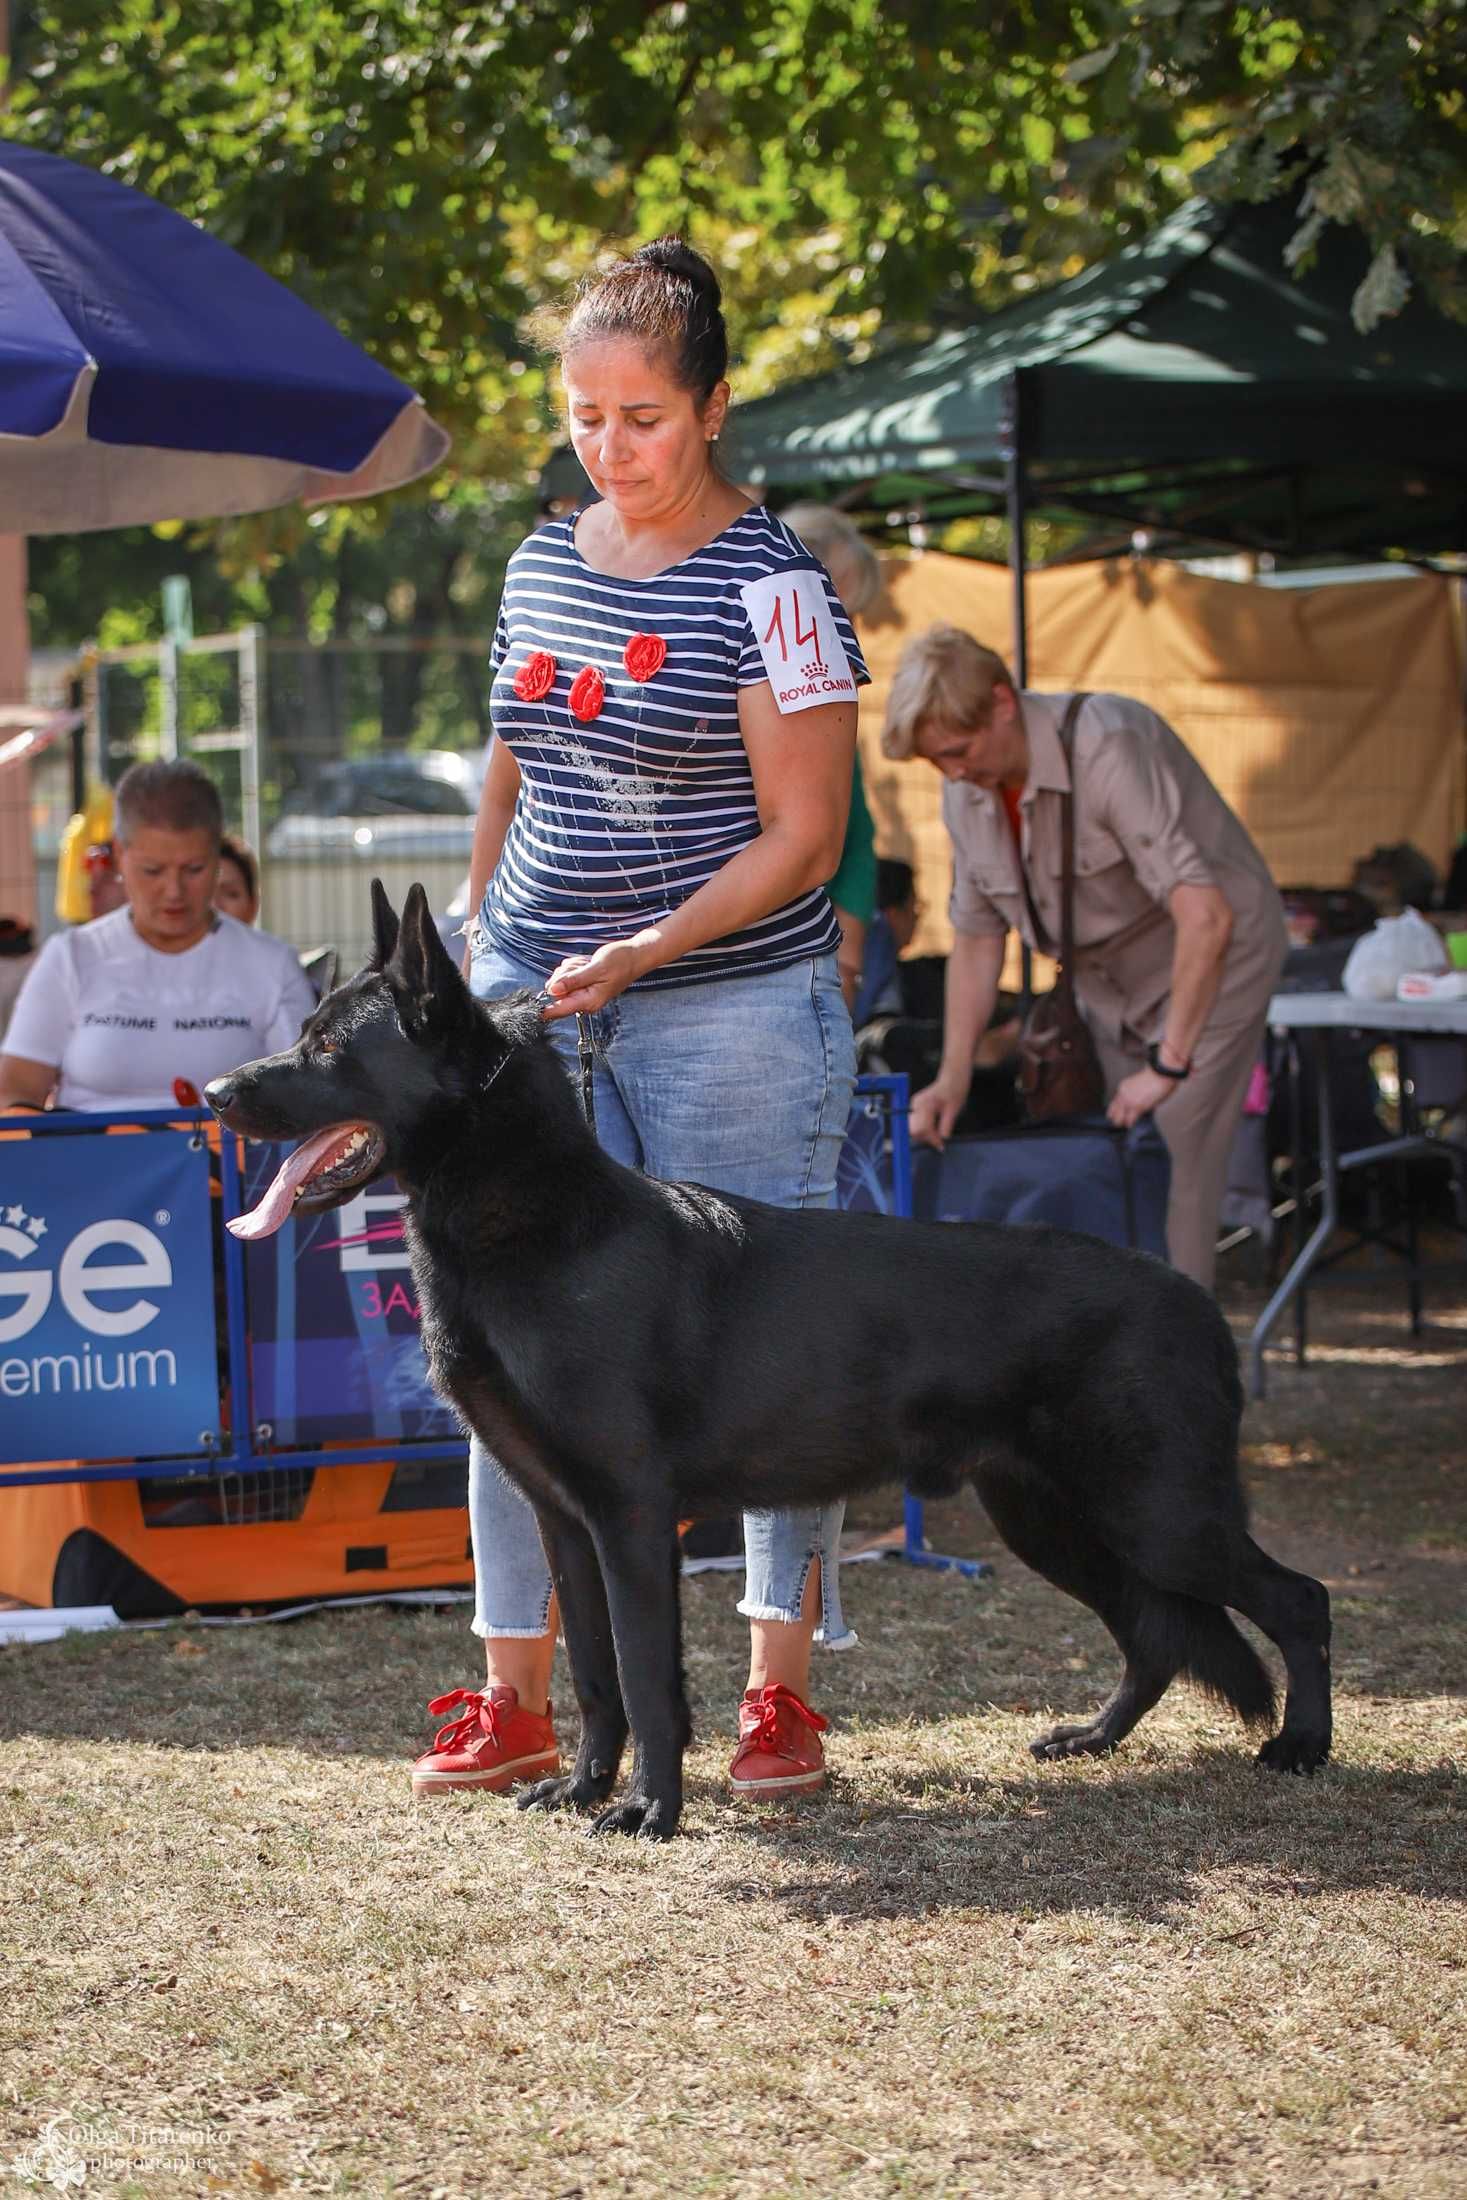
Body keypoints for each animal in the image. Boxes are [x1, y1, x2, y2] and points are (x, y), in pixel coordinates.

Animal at [208, 880, 1328, 1839]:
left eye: (325, 1044)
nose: (214, 1092)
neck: (536, 1221)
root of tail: (1196, 1299)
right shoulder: (563, 1520)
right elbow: (596, 1679)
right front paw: (582, 1790)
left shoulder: (630, 1519)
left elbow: (649, 1679)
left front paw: (649, 1811)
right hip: (1054, 1520)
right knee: (1153, 1632)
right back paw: (1094, 1738)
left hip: (1155, 1514)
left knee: (1291, 1601)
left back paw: (1301, 1748)